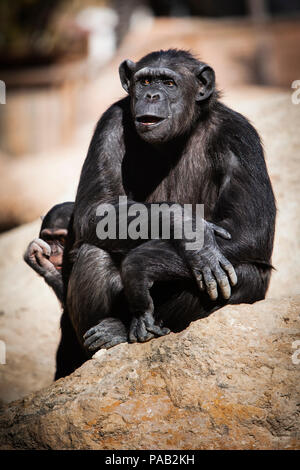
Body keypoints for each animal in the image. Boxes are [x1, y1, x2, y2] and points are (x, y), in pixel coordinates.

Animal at [62, 49, 274, 370]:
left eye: (169, 83)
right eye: (146, 81)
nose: (151, 95)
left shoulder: (240, 137)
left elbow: (250, 229)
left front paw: (142, 264)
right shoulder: (110, 122)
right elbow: (97, 208)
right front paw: (187, 227)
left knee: (245, 272)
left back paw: (126, 328)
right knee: (93, 252)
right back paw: (108, 335)